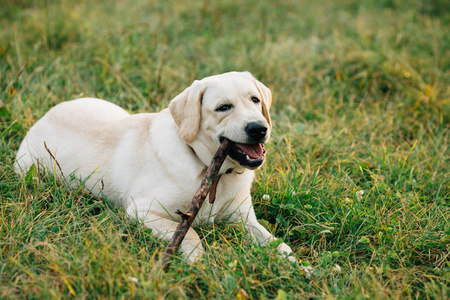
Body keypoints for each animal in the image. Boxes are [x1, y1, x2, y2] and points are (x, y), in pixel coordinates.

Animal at [14, 71, 296, 262]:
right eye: (223, 107)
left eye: (255, 100)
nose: (259, 129)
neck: (210, 171)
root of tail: (45, 115)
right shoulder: (142, 211)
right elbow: (190, 234)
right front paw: (197, 262)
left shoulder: (243, 219)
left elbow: (278, 244)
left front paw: (298, 267)